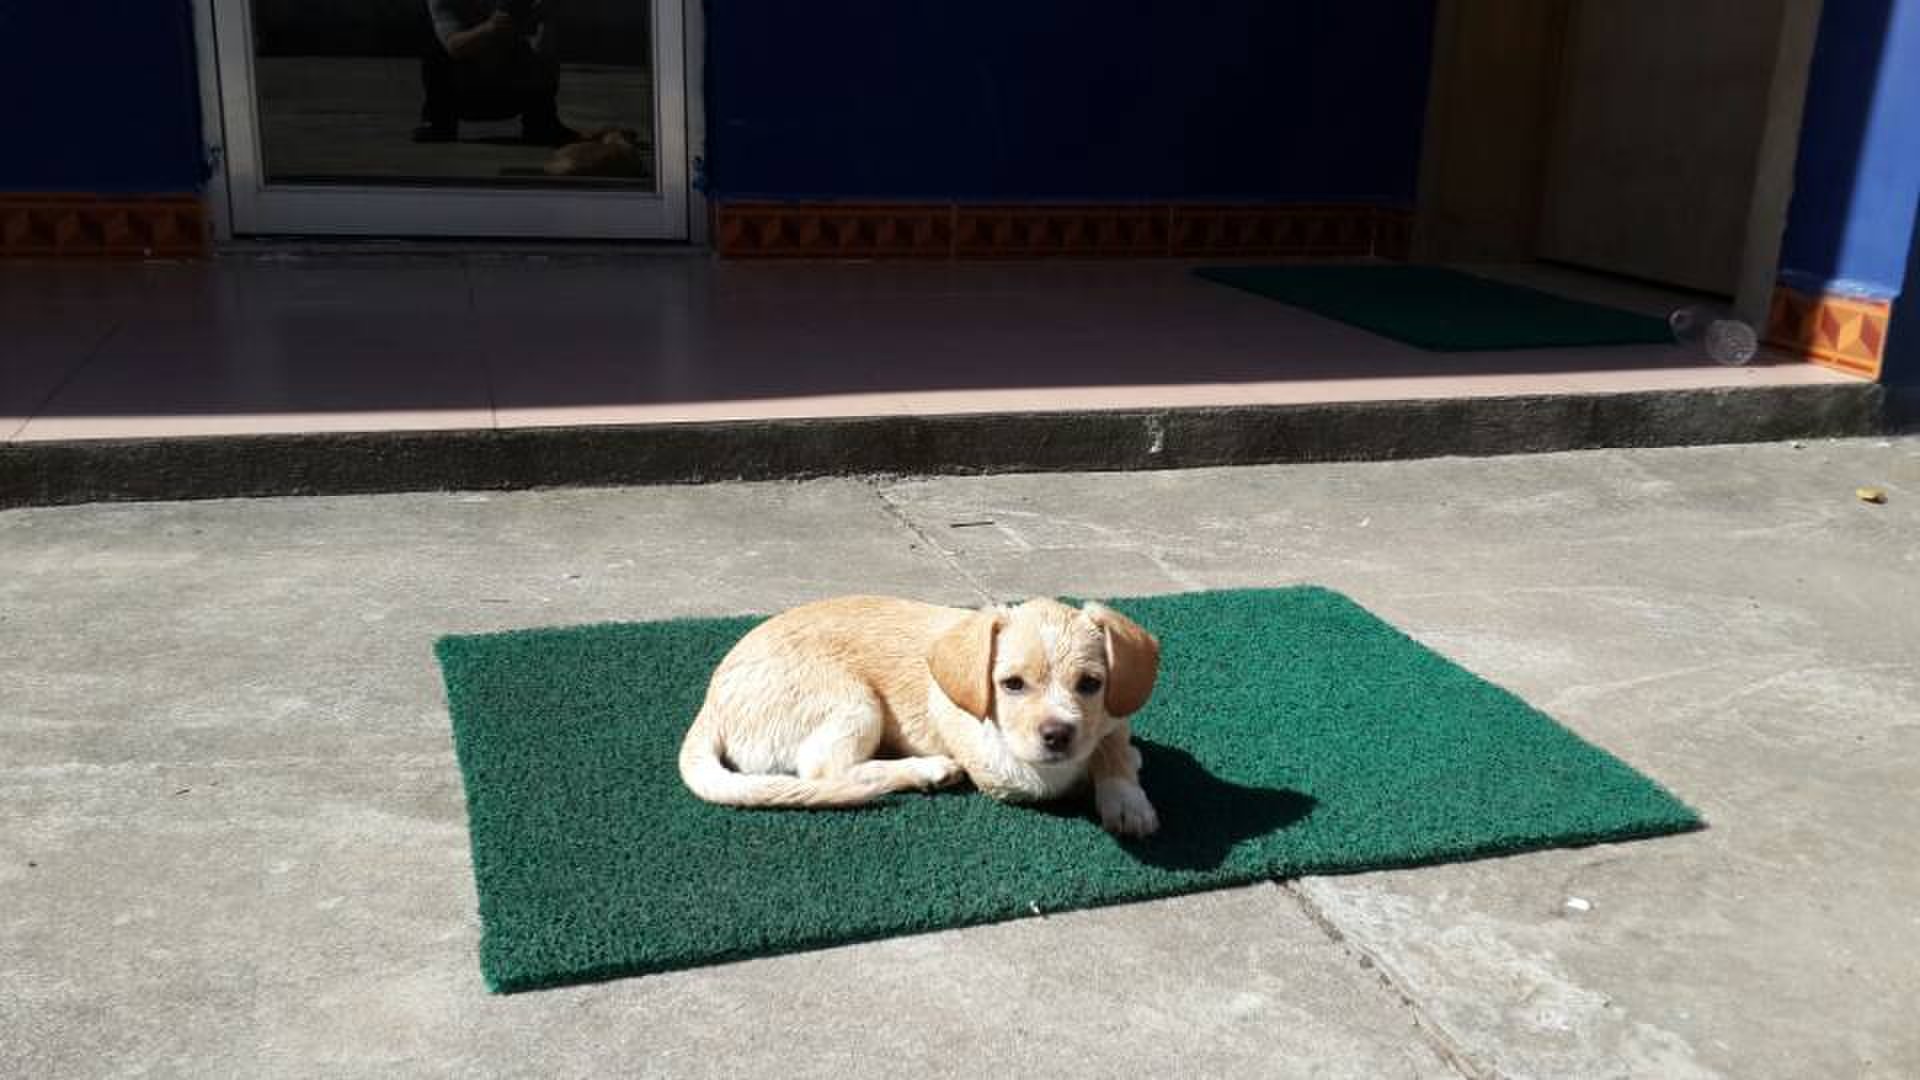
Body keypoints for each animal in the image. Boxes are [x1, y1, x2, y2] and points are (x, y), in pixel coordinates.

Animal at [678, 596, 1162, 836]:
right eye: (1012, 684)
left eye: (1090, 684)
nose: (1058, 735)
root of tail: (710, 703)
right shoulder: (1011, 772)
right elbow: (1059, 775)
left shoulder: (1112, 713)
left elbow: (1111, 743)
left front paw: (1127, 797)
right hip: (853, 701)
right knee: (827, 772)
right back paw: (928, 769)